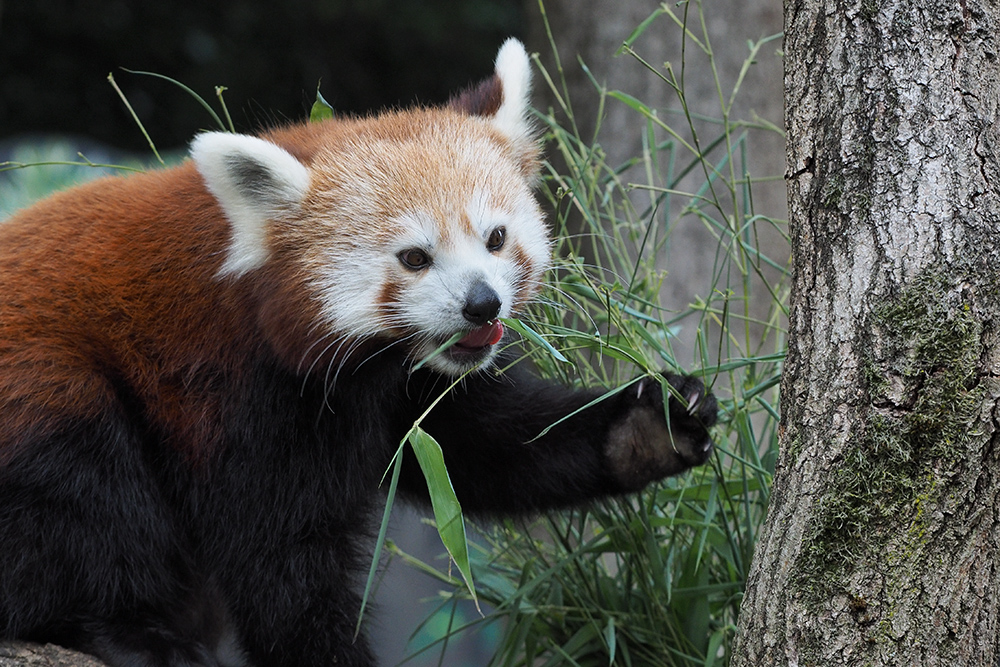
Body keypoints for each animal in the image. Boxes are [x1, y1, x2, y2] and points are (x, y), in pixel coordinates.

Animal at [0, 39, 720, 664]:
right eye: (414, 257)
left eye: (495, 238)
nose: (482, 305)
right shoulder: (236, 393)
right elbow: (279, 559)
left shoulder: (414, 384)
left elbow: (489, 447)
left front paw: (646, 428)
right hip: (43, 383)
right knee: (84, 490)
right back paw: (127, 630)